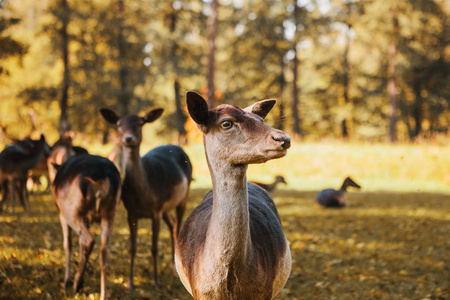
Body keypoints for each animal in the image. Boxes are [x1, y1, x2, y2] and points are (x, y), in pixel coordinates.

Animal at [52, 155, 122, 300]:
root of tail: (101, 178)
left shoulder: (62, 214)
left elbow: (68, 243)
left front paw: (67, 280)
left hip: (71, 210)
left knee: (88, 240)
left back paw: (77, 283)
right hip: (110, 212)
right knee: (103, 250)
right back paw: (102, 294)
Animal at [100, 106, 193, 288]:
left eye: (139, 123)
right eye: (119, 125)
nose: (128, 138)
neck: (143, 192)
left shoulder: (155, 210)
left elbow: (154, 247)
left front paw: (156, 282)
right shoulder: (131, 212)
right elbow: (132, 247)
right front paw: (130, 283)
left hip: (183, 196)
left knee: (177, 226)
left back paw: (176, 269)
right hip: (165, 206)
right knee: (171, 224)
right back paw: (172, 266)